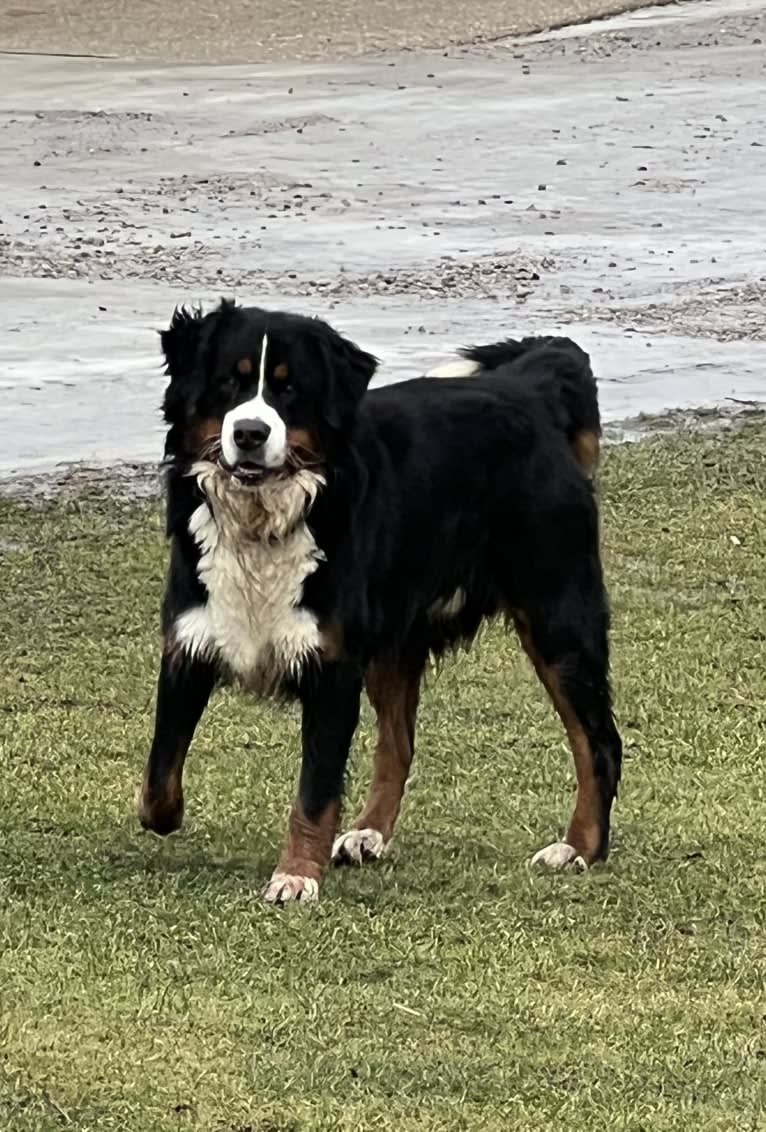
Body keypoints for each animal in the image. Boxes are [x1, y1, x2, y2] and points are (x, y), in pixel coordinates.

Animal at [139, 298, 620, 901]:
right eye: (229, 382)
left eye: (290, 389)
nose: (249, 432)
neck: (265, 521)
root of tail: (528, 388)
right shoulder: (191, 639)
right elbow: (157, 785)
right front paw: (172, 816)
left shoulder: (331, 666)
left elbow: (315, 791)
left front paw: (296, 875)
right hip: (397, 640)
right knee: (399, 744)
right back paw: (368, 833)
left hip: (558, 620)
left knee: (598, 743)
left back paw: (579, 847)